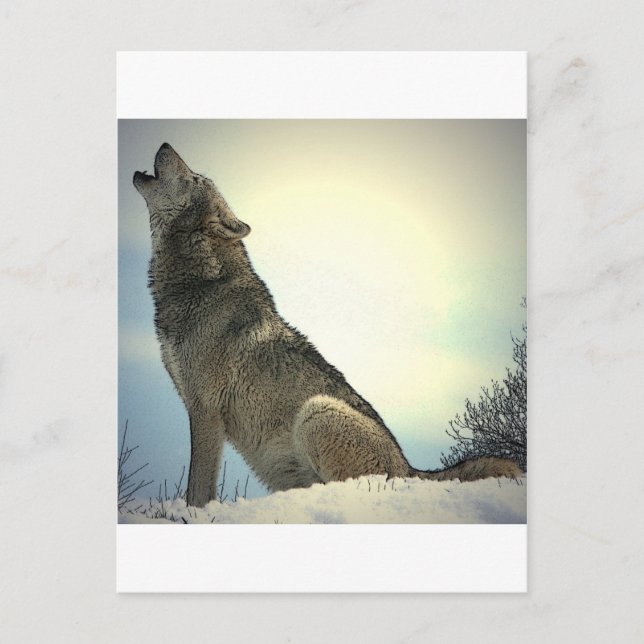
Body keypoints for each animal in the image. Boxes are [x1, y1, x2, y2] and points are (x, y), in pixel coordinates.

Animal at [133, 143, 522, 507]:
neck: (200, 281)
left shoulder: (206, 410)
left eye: (195, 178)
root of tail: (410, 469)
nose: (165, 144)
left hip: (316, 411)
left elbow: (197, 489)